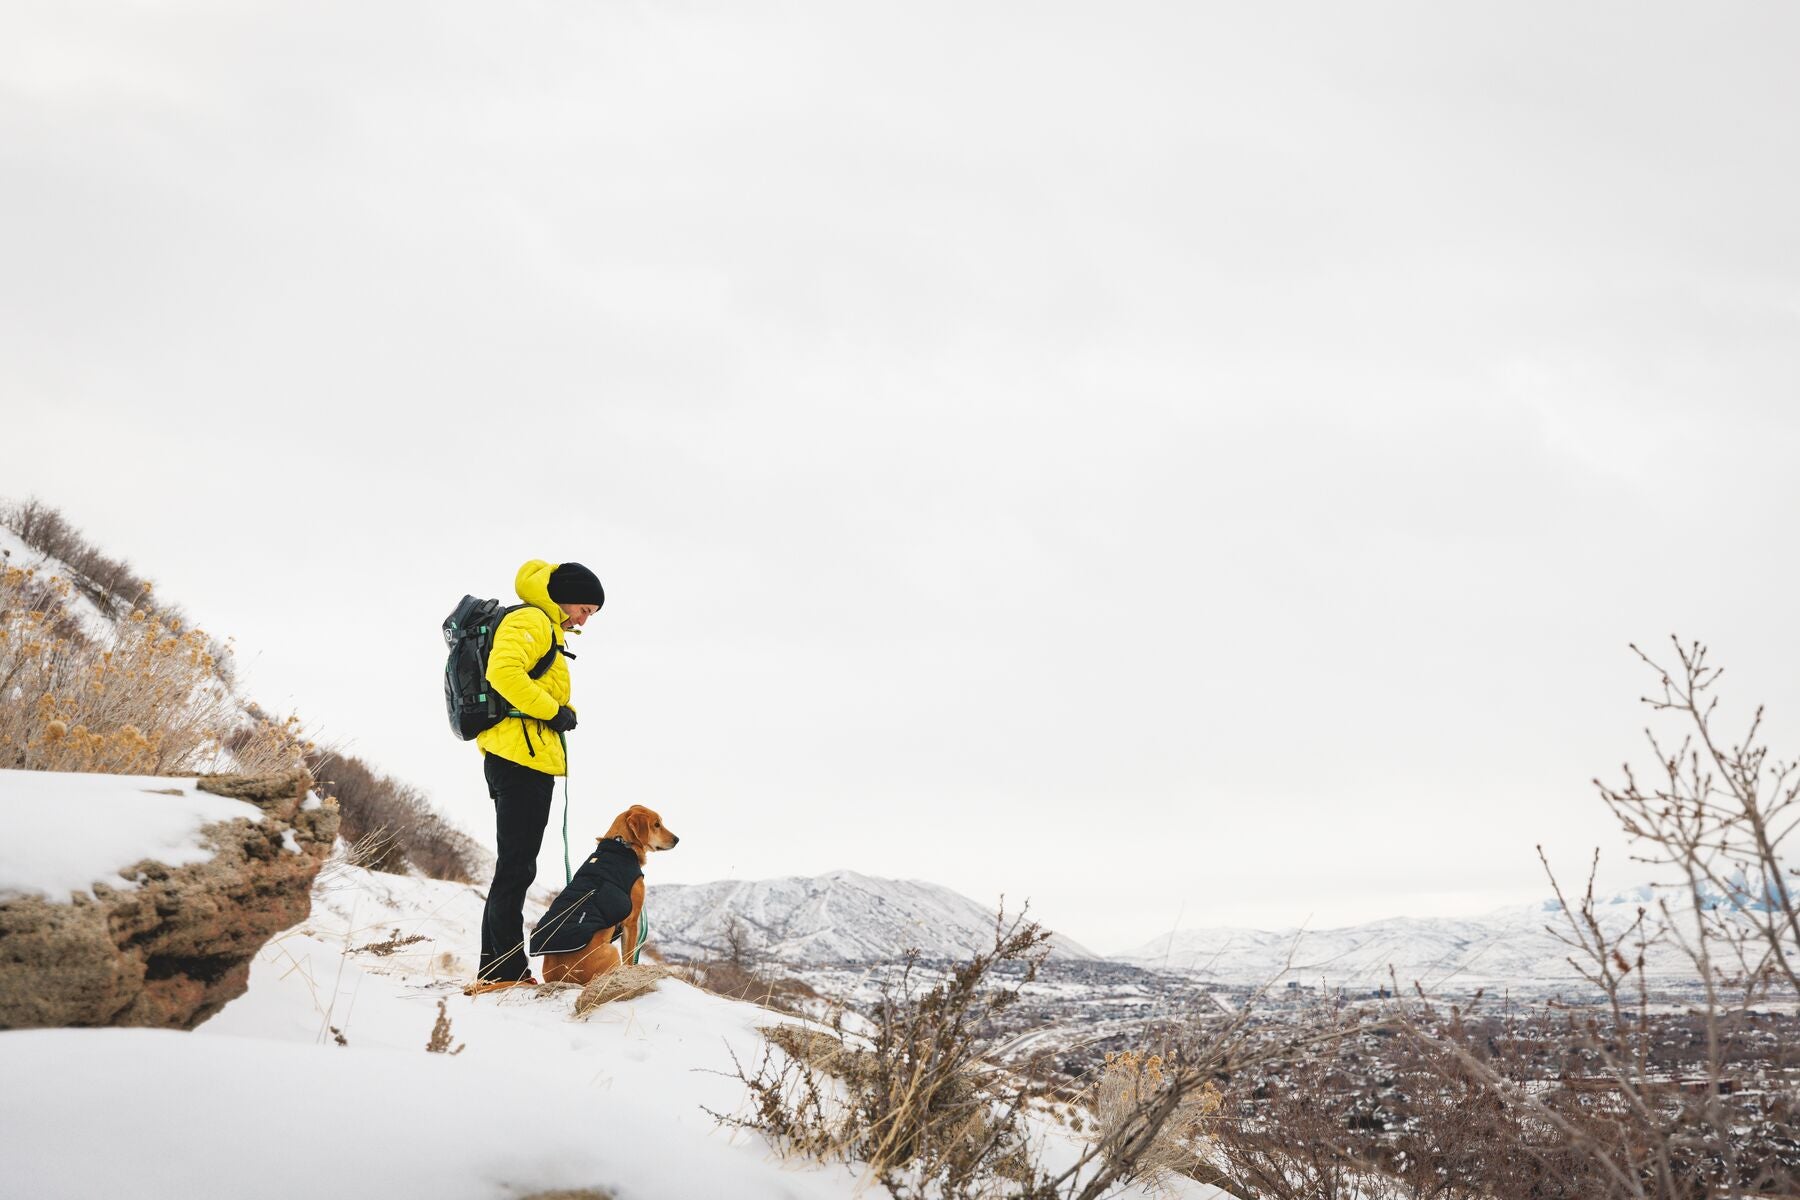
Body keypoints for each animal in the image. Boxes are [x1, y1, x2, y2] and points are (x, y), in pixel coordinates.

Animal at [536, 805, 676, 985]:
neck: (622, 844)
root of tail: (559, 978)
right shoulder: (631, 922)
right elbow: (629, 958)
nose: (677, 839)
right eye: (657, 824)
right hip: (610, 951)